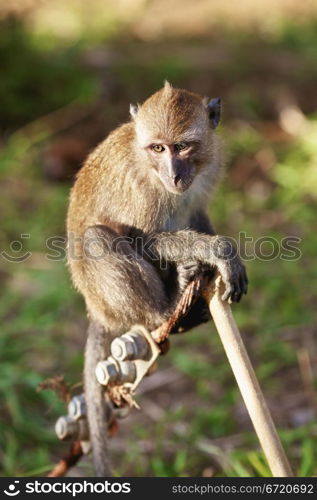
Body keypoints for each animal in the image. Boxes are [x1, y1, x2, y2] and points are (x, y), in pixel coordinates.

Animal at [65, 82, 247, 476]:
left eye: (182, 146)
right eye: (158, 149)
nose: (175, 175)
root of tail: (95, 309)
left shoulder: (209, 166)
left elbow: (196, 212)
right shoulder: (143, 188)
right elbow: (139, 239)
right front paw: (219, 251)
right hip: (112, 301)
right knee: (97, 239)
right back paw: (167, 311)